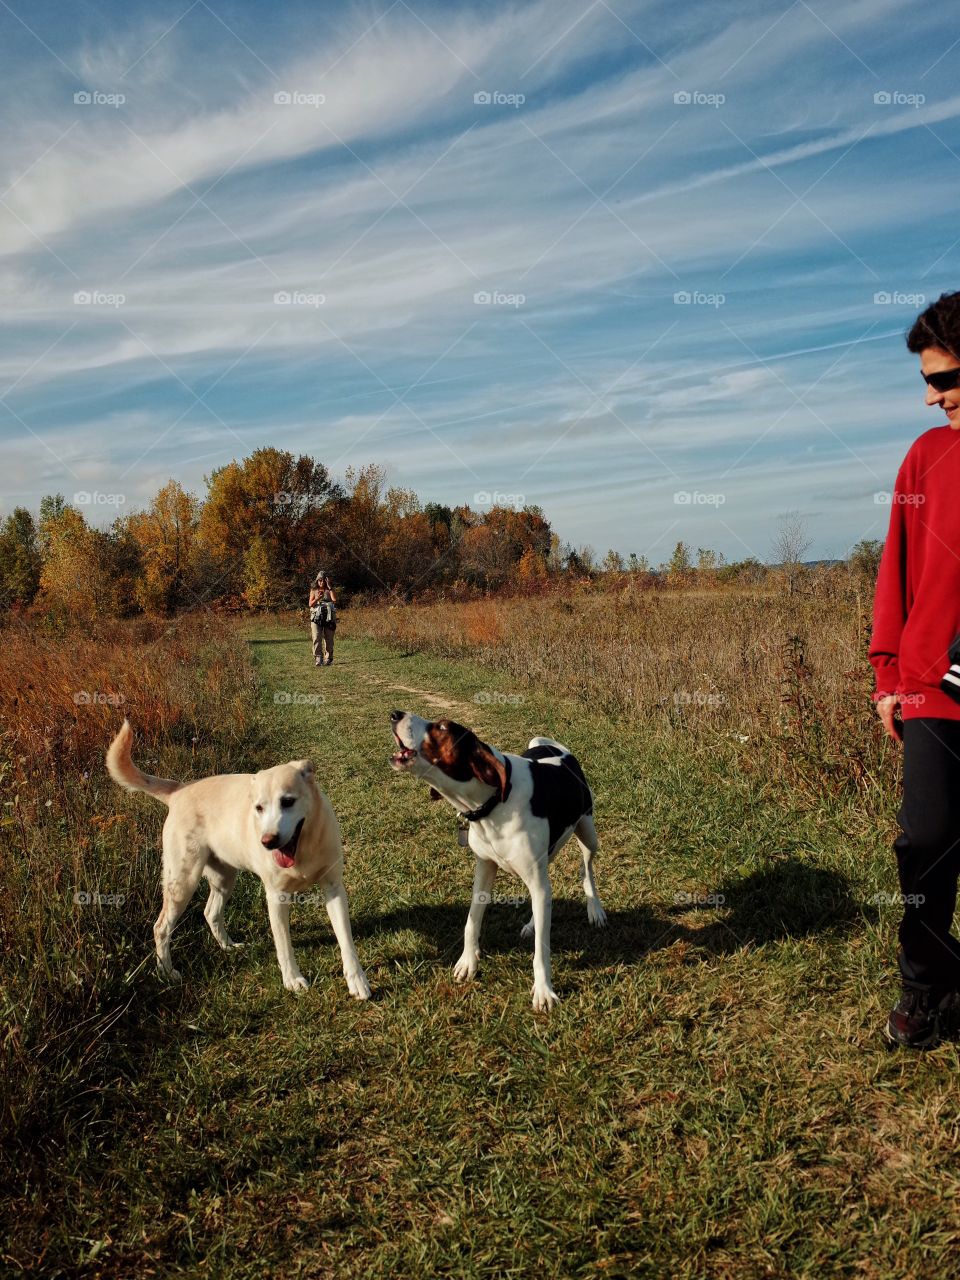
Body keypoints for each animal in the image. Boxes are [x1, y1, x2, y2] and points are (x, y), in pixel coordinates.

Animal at [108, 721, 371, 998]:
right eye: (259, 808)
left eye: (288, 801)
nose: (268, 841)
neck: (302, 848)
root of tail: (180, 789)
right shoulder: (276, 896)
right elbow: (284, 945)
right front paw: (293, 979)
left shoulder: (334, 888)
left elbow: (346, 940)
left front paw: (357, 980)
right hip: (182, 882)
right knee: (161, 928)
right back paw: (167, 972)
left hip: (224, 878)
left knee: (210, 912)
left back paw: (228, 947)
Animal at [386, 711, 604, 1008]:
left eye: (442, 727)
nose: (394, 714)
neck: (493, 802)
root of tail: (560, 751)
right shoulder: (484, 868)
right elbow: (472, 920)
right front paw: (468, 961)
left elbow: (541, 950)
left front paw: (543, 989)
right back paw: (533, 923)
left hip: (588, 833)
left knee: (586, 868)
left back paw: (595, 908)